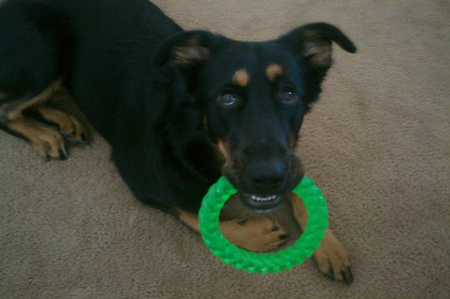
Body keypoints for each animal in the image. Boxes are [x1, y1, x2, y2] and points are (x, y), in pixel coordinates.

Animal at [0, 0, 356, 284]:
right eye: (226, 98)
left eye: (289, 94)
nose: (267, 177)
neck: (194, 135)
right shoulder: (140, 177)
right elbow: (193, 214)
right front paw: (255, 233)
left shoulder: (288, 158)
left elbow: (302, 193)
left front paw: (328, 245)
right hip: (49, 51)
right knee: (6, 109)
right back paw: (45, 134)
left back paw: (65, 121)